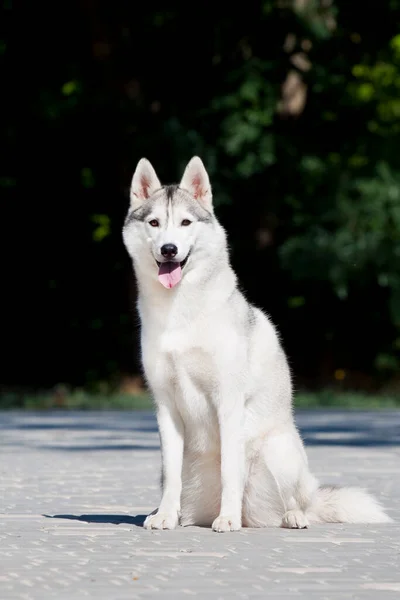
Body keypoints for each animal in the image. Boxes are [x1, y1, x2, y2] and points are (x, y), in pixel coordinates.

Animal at [122, 157, 390, 532]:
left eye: (186, 222)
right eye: (154, 223)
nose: (169, 249)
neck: (180, 314)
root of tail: (253, 517)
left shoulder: (228, 401)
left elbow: (230, 471)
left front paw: (227, 519)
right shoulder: (166, 408)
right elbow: (173, 477)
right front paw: (164, 516)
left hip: (279, 451)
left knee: (297, 503)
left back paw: (284, 516)